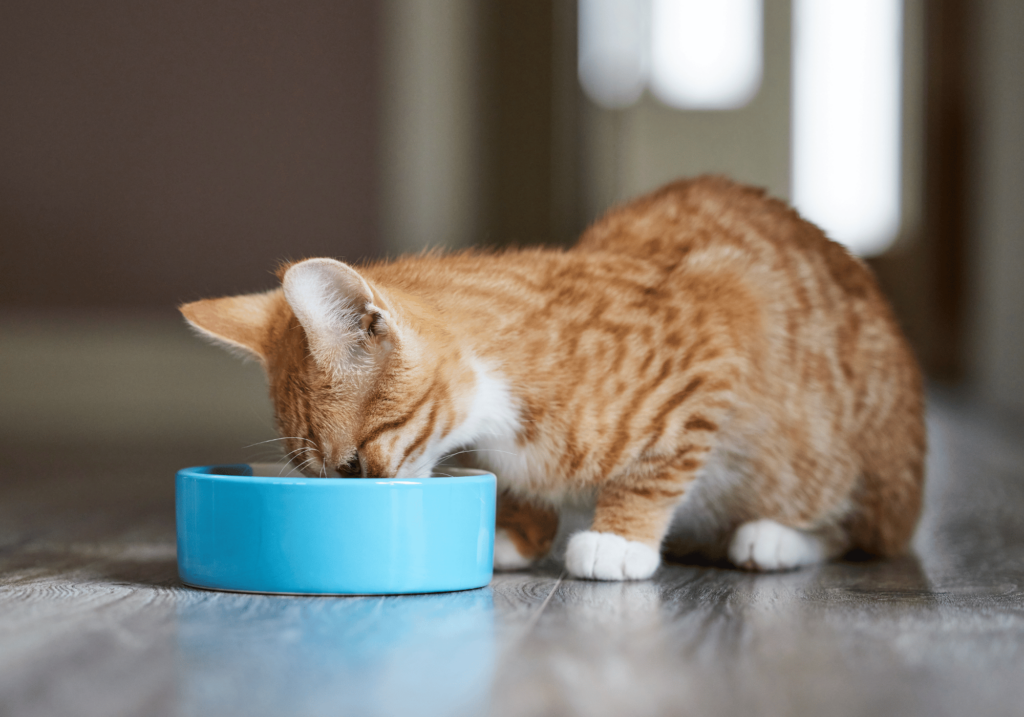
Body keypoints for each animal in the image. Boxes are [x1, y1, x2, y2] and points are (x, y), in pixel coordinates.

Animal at [180, 176, 925, 581]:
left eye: (353, 467)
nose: (352, 496)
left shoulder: (719, 329)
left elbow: (655, 466)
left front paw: (620, 538)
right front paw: (516, 531)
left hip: (836, 465)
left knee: (857, 532)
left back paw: (772, 537)